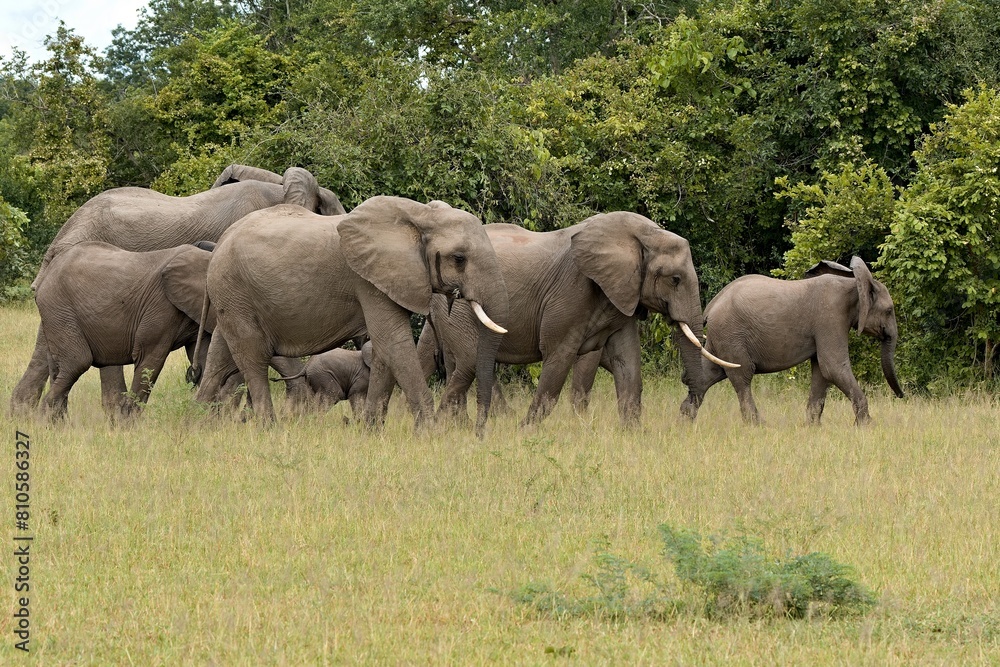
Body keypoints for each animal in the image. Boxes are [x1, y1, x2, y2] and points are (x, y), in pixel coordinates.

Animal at [192, 196, 512, 434]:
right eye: (459, 259)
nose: (479, 433)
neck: (419, 215)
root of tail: (220, 242)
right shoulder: (367, 280)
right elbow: (394, 343)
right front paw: (431, 434)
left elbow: (383, 350)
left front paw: (371, 431)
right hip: (235, 288)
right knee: (252, 357)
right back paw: (268, 429)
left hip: (232, 296)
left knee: (221, 356)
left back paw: (196, 425)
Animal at [414, 211, 736, 426]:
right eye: (675, 279)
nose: (684, 415)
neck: (642, 233)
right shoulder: (571, 291)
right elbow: (558, 358)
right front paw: (525, 431)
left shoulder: (620, 296)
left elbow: (627, 363)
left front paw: (633, 435)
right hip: (458, 309)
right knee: (467, 362)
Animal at [688, 258, 908, 426]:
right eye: (889, 310)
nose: (902, 396)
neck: (854, 284)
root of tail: (711, 306)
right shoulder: (831, 316)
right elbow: (833, 367)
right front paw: (867, 427)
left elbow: (822, 372)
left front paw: (813, 427)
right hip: (731, 335)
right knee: (742, 376)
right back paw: (758, 426)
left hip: (721, 338)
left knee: (709, 374)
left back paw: (685, 421)